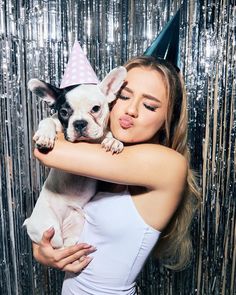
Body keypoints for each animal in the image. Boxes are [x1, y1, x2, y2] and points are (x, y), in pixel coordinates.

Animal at [23, 66, 127, 247]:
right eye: (64, 112)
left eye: (95, 109)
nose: (79, 123)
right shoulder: (54, 121)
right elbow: (48, 121)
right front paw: (45, 136)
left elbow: (106, 134)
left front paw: (113, 141)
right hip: (48, 226)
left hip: (77, 221)